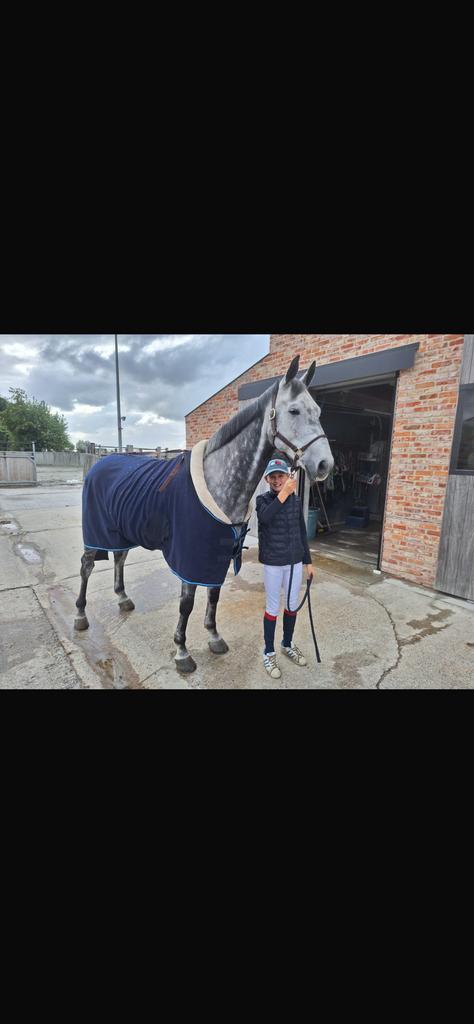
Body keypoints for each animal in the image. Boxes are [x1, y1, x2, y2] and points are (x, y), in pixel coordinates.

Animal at [74, 354, 334, 674]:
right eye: (294, 410)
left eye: (318, 411)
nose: (325, 465)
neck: (216, 482)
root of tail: (99, 463)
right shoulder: (191, 556)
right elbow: (187, 603)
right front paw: (182, 652)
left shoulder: (216, 555)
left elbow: (213, 595)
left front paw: (214, 637)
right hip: (95, 533)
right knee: (87, 566)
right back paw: (81, 615)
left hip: (120, 530)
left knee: (120, 557)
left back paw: (123, 599)